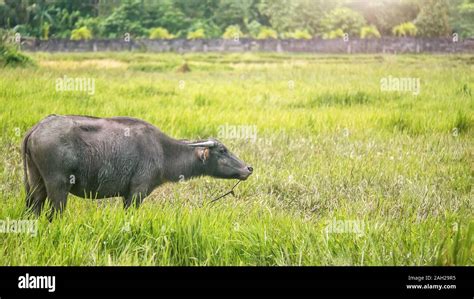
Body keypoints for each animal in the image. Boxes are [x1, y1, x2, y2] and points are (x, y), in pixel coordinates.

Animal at [21, 116, 254, 219]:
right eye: (222, 150)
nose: (248, 169)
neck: (162, 150)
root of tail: (37, 128)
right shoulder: (137, 193)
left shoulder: (127, 196)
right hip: (58, 186)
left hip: (36, 183)